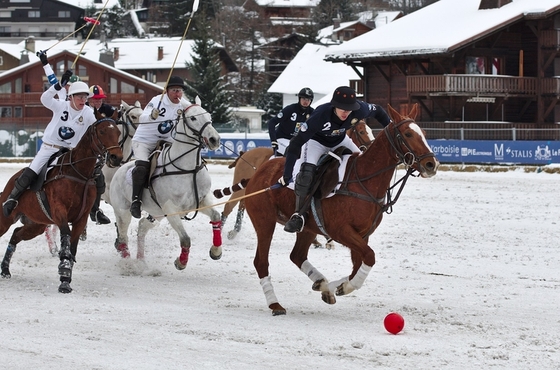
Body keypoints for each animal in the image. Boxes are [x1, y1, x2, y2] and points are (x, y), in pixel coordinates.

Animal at [0, 117, 122, 294]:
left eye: (118, 132)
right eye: (102, 131)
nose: (116, 157)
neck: (79, 173)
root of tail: (10, 182)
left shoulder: (81, 218)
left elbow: (73, 246)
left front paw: (66, 278)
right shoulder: (59, 212)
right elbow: (66, 236)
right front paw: (64, 274)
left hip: (36, 225)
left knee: (16, 234)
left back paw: (5, 270)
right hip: (5, 219)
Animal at [109, 99, 223, 268]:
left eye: (209, 116)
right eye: (193, 118)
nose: (215, 140)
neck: (188, 169)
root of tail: (119, 170)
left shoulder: (202, 201)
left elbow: (216, 216)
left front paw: (216, 251)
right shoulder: (171, 209)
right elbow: (185, 239)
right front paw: (181, 262)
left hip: (156, 213)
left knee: (142, 226)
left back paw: (141, 261)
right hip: (123, 211)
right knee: (123, 238)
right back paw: (129, 265)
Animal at [221, 120, 374, 247]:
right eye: (362, 132)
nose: (369, 147)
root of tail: (244, 153)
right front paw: (324, 239)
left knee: (242, 205)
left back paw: (233, 231)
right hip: (241, 188)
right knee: (229, 206)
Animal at [243, 104, 440, 316]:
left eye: (424, 133)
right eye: (408, 134)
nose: (432, 164)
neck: (364, 181)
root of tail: (259, 172)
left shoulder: (362, 235)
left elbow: (359, 265)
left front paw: (332, 288)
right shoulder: (340, 231)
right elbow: (369, 257)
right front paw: (341, 287)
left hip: (307, 227)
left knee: (297, 255)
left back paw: (320, 283)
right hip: (265, 222)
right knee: (261, 261)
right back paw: (275, 304)